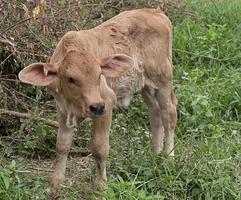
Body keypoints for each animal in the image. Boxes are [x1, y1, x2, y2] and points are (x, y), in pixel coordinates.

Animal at [18, 8, 177, 197]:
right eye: (70, 79)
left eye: (99, 74)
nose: (96, 106)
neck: (74, 105)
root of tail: (156, 11)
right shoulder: (62, 109)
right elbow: (62, 145)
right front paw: (53, 187)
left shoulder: (107, 102)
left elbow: (100, 148)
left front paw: (101, 187)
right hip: (146, 85)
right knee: (155, 114)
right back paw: (155, 155)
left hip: (163, 79)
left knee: (169, 114)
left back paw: (169, 158)